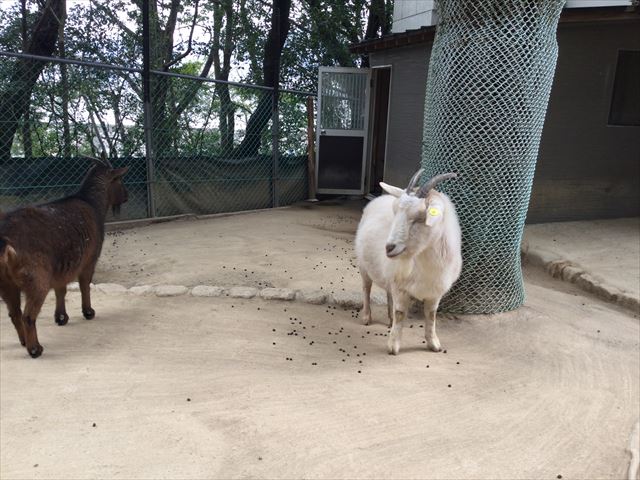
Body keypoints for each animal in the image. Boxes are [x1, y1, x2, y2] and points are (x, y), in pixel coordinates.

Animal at [0, 159, 129, 358]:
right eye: (120, 180)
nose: (127, 196)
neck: (92, 203)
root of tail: (4, 239)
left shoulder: (61, 269)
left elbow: (61, 290)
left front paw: (61, 317)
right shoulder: (89, 259)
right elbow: (85, 285)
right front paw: (88, 312)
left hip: (6, 284)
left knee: (14, 313)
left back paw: (24, 342)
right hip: (37, 278)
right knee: (28, 316)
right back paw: (35, 349)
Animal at [356, 169, 460, 352]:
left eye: (419, 218)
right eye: (395, 213)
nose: (389, 248)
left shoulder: (435, 291)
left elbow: (431, 316)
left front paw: (434, 344)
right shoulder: (401, 287)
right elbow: (400, 313)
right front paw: (393, 346)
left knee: (388, 292)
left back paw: (389, 318)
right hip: (364, 267)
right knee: (366, 289)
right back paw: (367, 317)